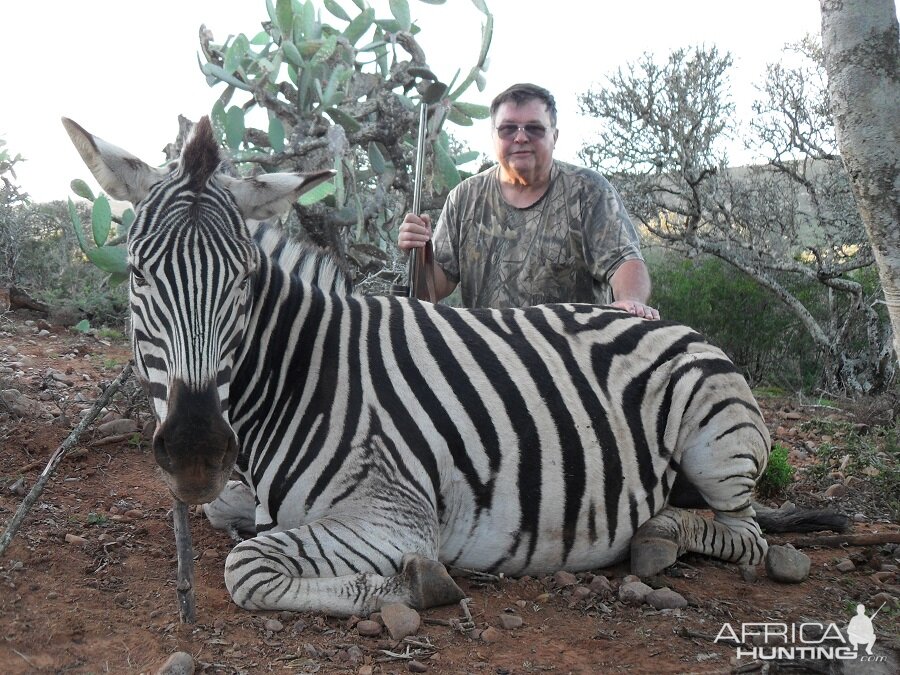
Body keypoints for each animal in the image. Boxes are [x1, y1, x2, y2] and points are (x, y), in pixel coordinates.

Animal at [61, 115, 844, 616]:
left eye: (245, 281)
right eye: (135, 274)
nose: (196, 451)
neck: (297, 379)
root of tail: (681, 328)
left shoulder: (397, 515)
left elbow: (246, 566)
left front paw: (411, 589)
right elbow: (234, 522)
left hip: (719, 445)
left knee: (745, 533)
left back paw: (658, 538)